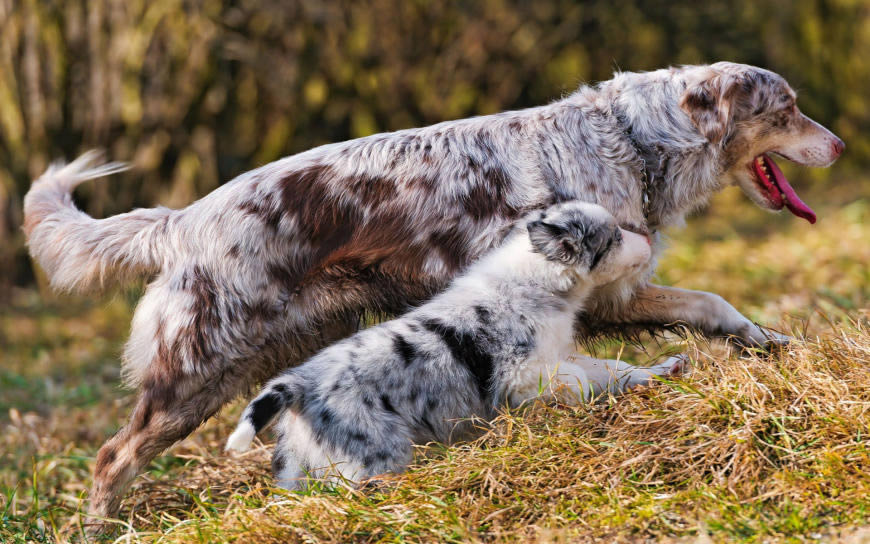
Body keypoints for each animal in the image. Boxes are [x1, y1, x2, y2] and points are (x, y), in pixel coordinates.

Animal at [227, 201, 688, 488]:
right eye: (613, 239)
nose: (649, 240)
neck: (537, 280)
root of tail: (297, 383)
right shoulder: (524, 374)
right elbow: (576, 380)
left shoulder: (558, 354)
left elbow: (611, 369)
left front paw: (664, 370)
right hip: (371, 456)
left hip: (297, 465)